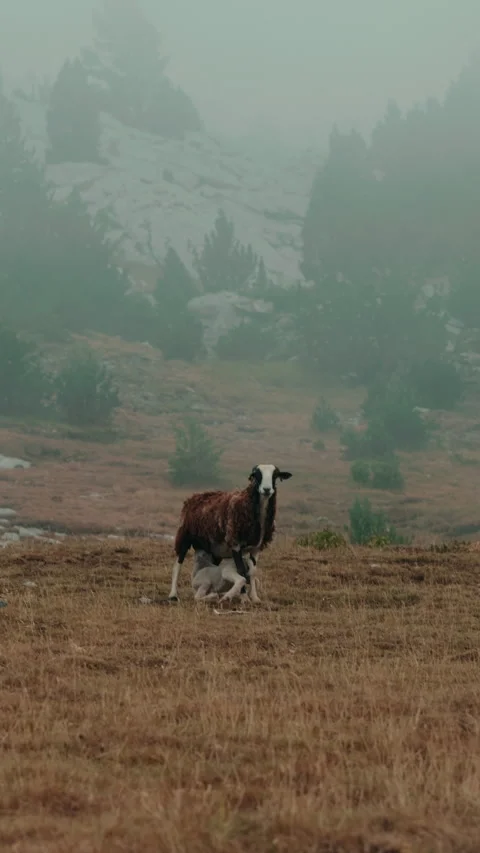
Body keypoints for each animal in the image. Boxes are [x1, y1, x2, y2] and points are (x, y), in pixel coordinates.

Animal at [167, 463, 292, 603]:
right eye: (256, 475)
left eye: (275, 476)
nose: (266, 489)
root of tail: (195, 496)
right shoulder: (235, 544)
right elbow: (241, 570)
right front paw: (244, 597)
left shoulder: (256, 548)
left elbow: (252, 571)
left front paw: (254, 597)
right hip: (184, 536)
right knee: (177, 564)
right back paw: (173, 594)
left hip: (213, 549)